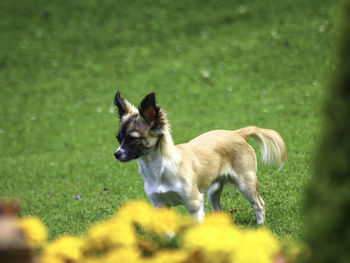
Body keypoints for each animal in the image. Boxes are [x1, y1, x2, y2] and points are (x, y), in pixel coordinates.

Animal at [113, 91, 286, 225]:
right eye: (118, 139)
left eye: (132, 139)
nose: (116, 154)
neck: (159, 170)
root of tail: (237, 133)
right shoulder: (160, 205)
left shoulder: (194, 202)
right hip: (212, 190)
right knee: (218, 209)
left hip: (246, 183)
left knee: (259, 204)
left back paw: (260, 226)